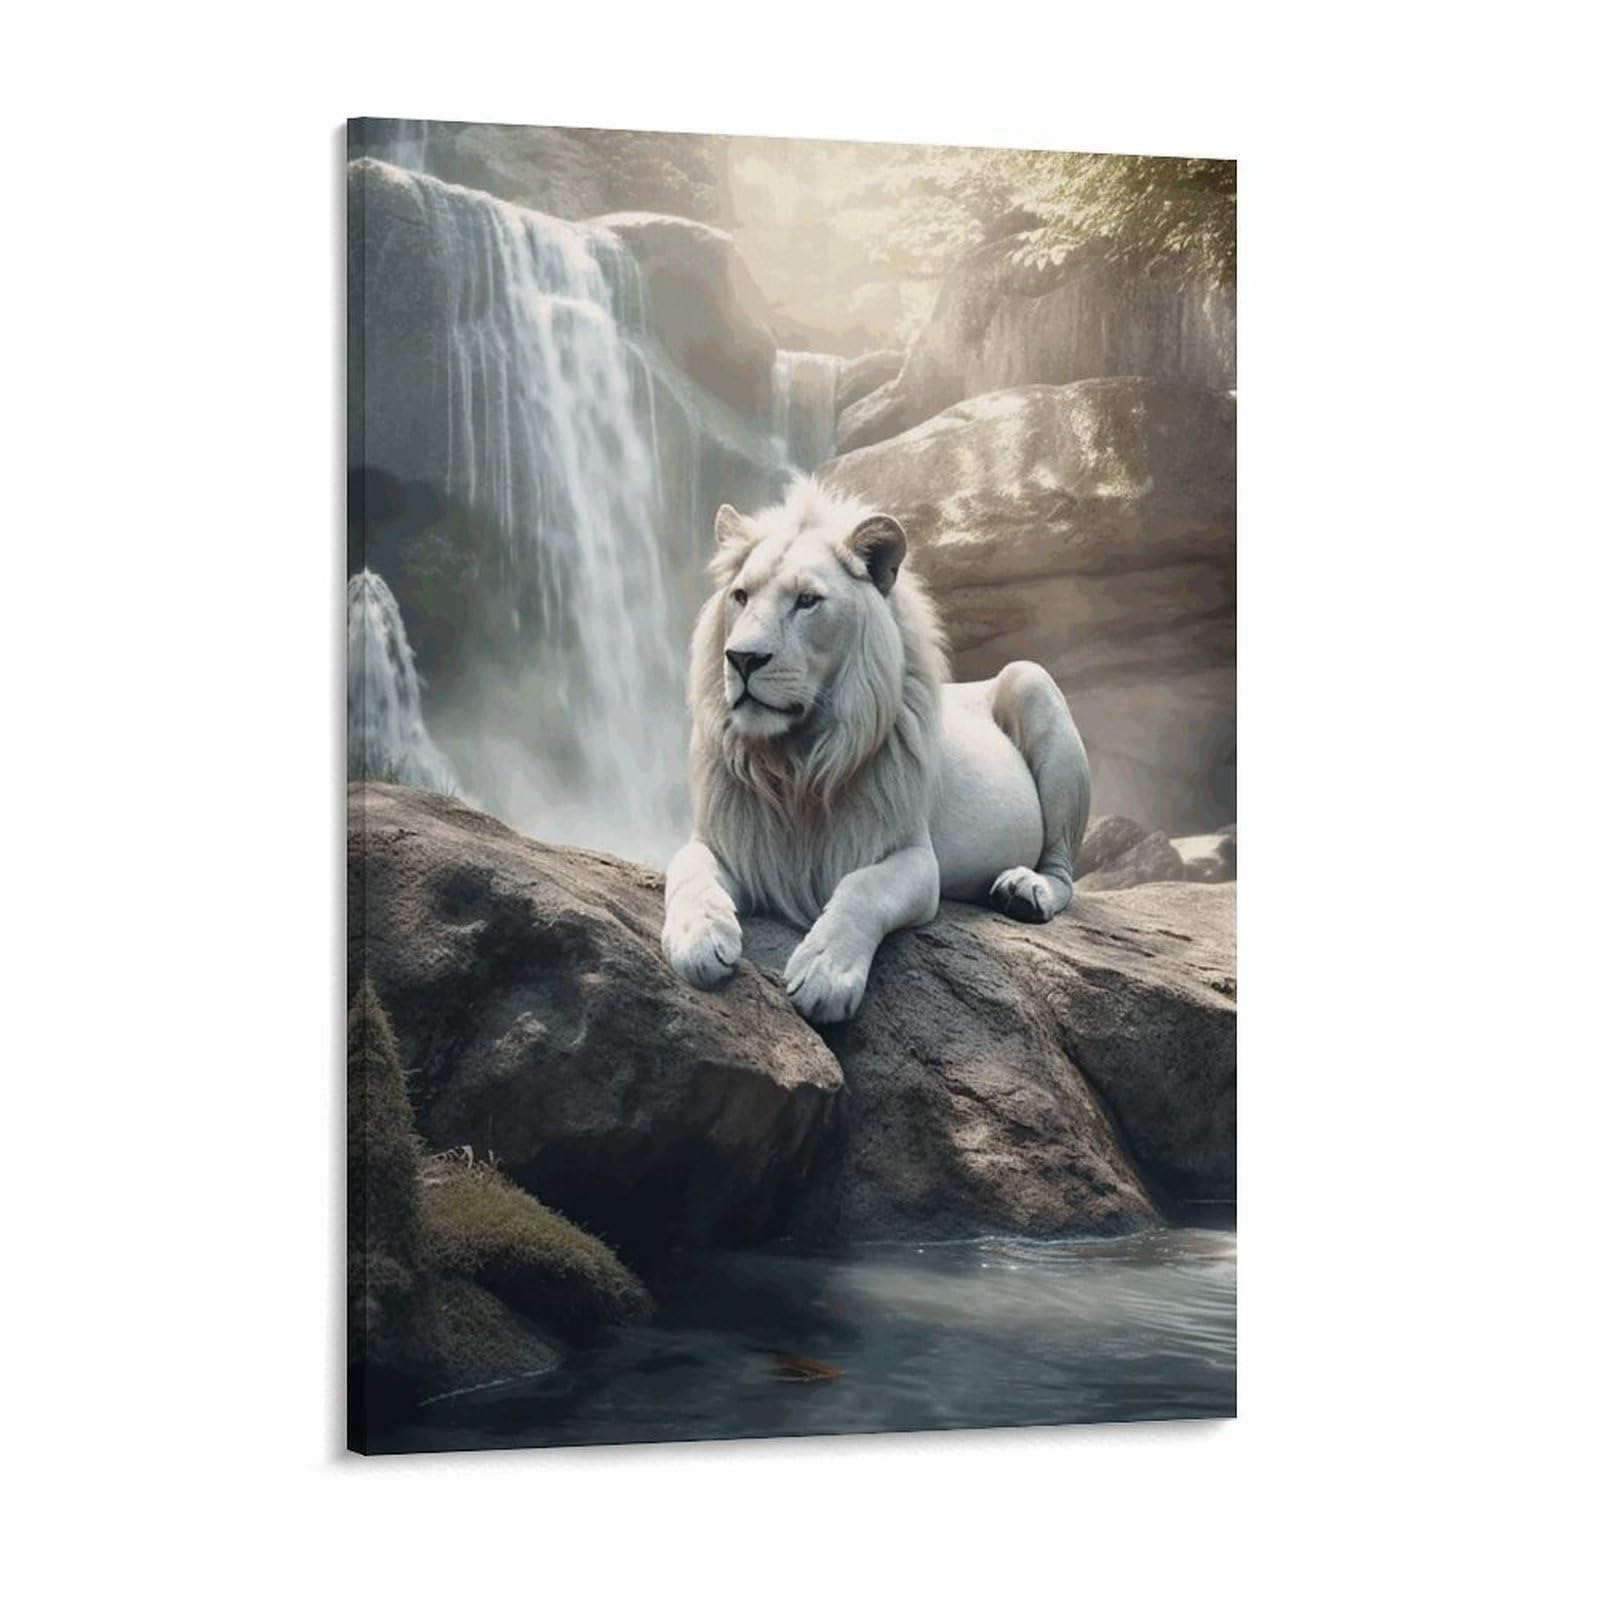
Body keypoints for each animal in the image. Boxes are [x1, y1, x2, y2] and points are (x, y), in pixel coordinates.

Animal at [662, 478, 1092, 1024]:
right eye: (740, 595)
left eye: (807, 601)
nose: (741, 658)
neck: (795, 762)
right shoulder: (724, 841)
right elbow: (687, 869)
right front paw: (698, 938)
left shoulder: (914, 858)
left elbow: (862, 889)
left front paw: (824, 973)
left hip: (1033, 682)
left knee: (1063, 872)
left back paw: (1025, 890)